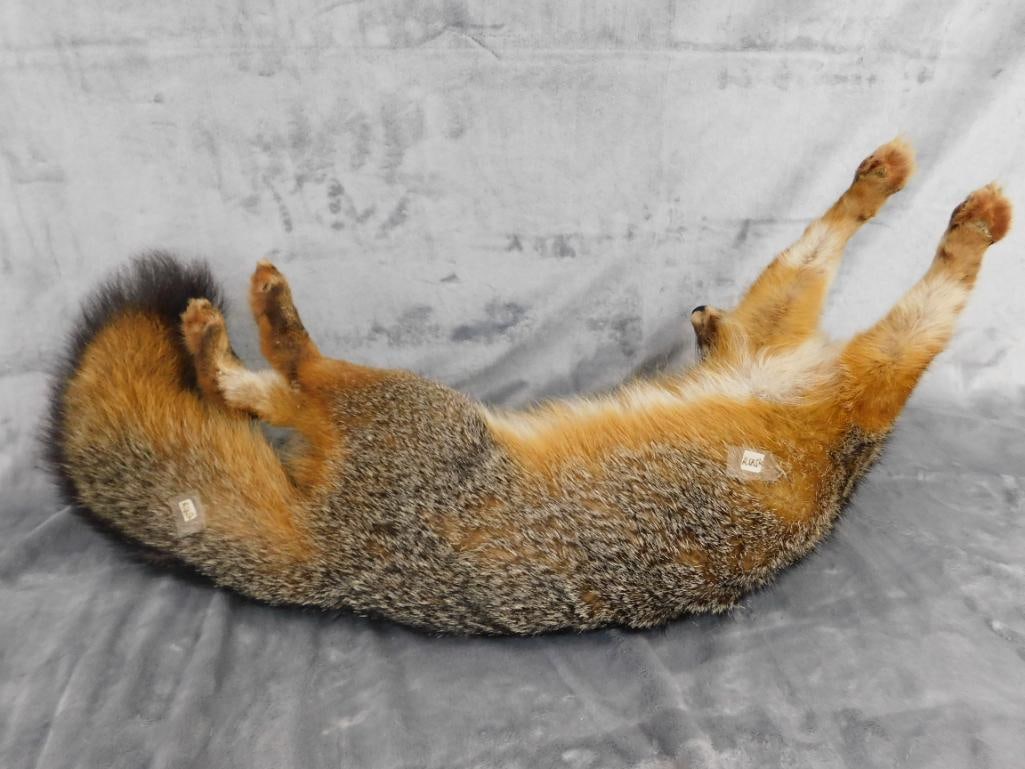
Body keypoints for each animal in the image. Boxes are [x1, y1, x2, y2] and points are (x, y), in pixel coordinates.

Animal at [45, 138, 1011, 635]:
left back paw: (254, 321)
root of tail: (337, 572)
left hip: (406, 408)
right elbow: (850, 271)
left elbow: (936, 300)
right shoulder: (796, 344)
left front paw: (964, 239)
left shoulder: (859, 370)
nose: (700, 312)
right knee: (273, 388)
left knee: (291, 376)